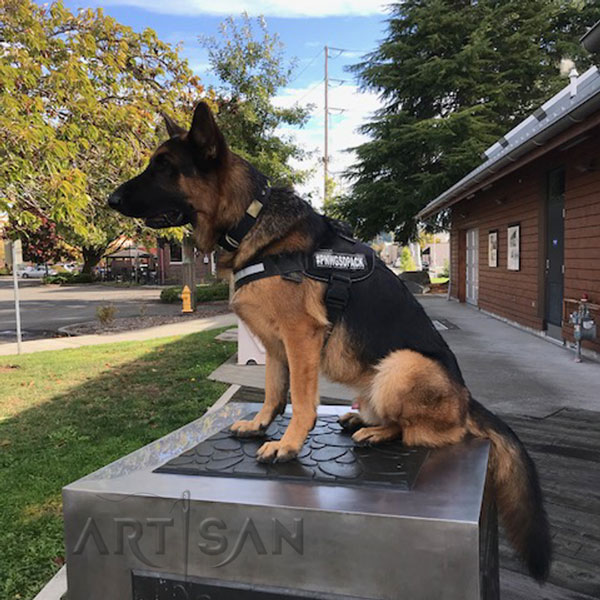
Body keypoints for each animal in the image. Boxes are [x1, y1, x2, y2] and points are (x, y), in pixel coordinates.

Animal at [110, 103, 552, 580]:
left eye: (164, 167)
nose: (110, 201)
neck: (249, 219)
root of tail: (467, 400)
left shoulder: (301, 337)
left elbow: (302, 400)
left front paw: (287, 445)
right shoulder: (273, 344)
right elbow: (273, 391)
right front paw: (260, 424)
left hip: (402, 365)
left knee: (430, 433)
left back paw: (377, 433)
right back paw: (361, 420)